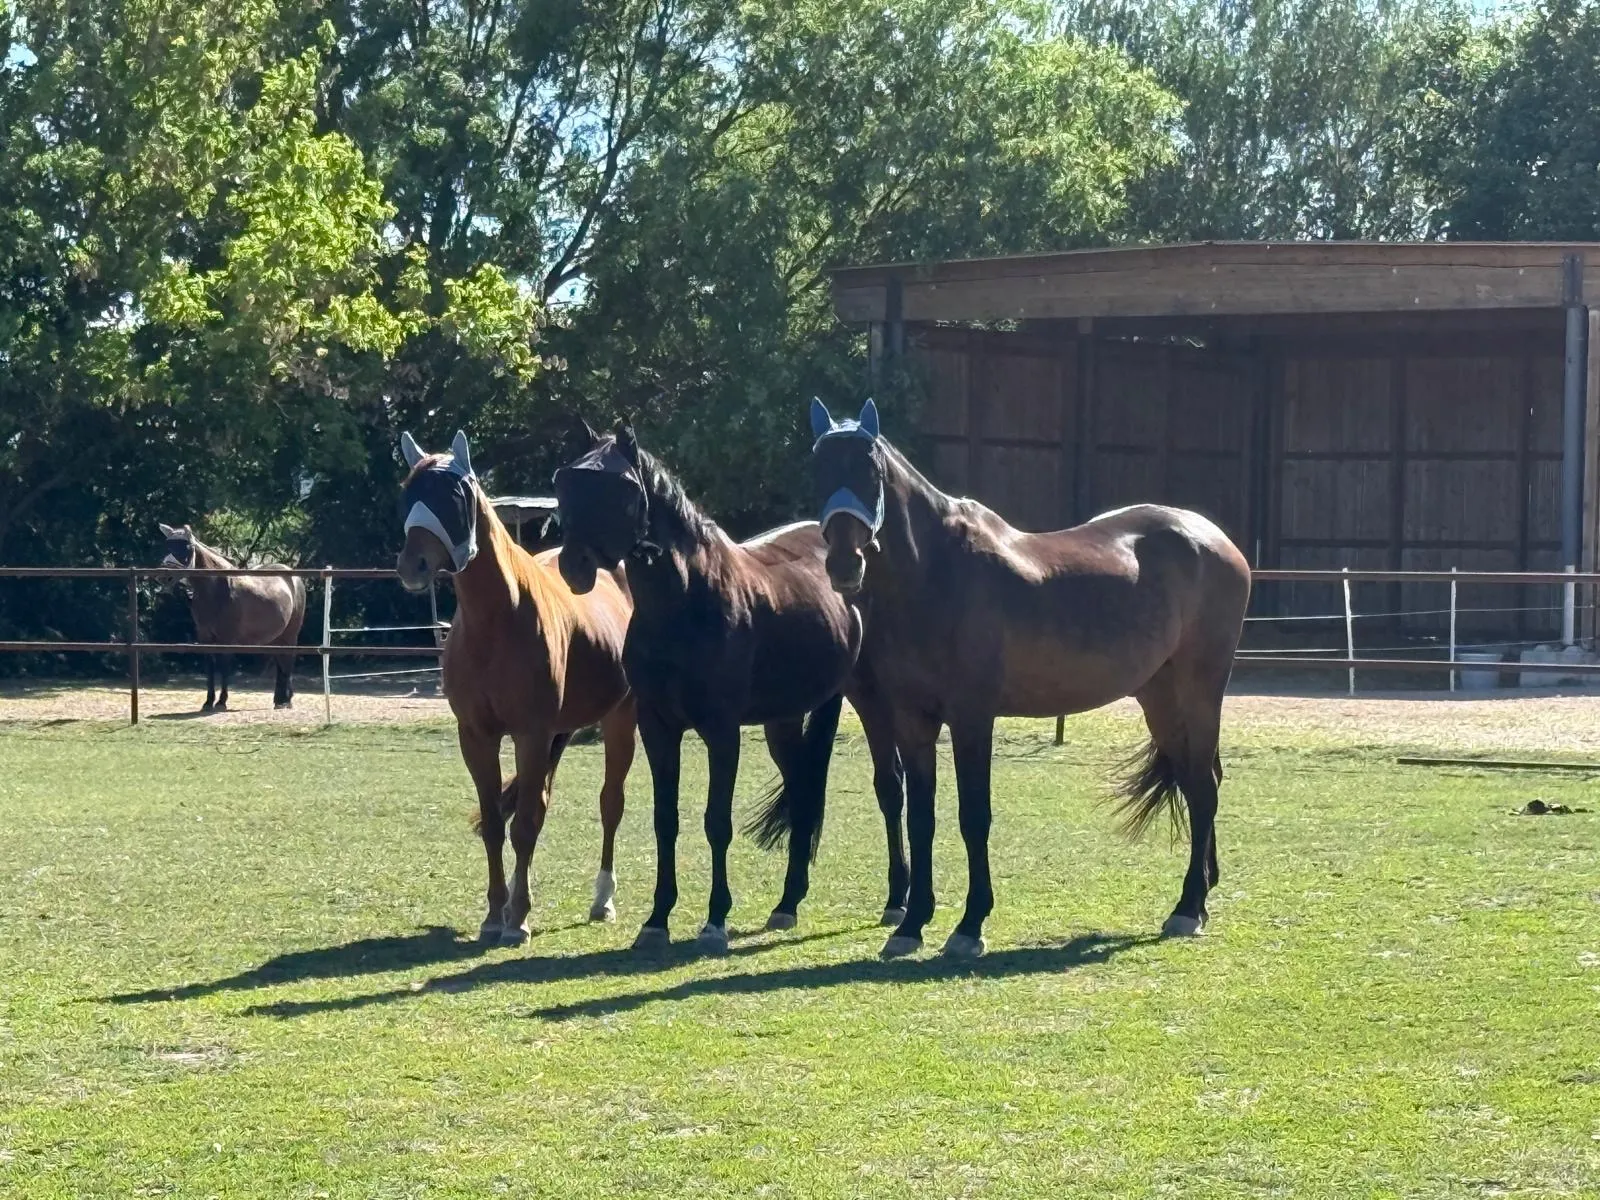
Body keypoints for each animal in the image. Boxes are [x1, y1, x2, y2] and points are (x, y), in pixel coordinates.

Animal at [158, 523, 306, 711]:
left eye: (187, 547)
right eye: (168, 546)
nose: (163, 576)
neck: (217, 590)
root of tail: (293, 576)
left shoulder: (226, 639)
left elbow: (224, 667)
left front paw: (221, 702)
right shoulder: (205, 638)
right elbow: (210, 668)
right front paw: (208, 702)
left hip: (291, 634)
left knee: (287, 662)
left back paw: (286, 701)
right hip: (277, 638)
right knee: (281, 663)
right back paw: (279, 700)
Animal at [396, 430, 637, 945]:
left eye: (455, 496)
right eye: (408, 493)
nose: (412, 565)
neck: (495, 621)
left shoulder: (530, 734)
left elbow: (525, 824)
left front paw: (519, 918)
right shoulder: (477, 736)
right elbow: (494, 822)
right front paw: (495, 913)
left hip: (620, 719)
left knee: (610, 803)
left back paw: (602, 899)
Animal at [553, 421, 909, 954]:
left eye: (623, 491)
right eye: (567, 482)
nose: (573, 566)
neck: (684, 601)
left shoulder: (722, 732)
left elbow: (716, 822)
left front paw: (715, 920)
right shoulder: (657, 727)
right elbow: (665, 820)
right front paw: (657, 919)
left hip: (871, 701)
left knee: (890, 787)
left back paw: (898, 899)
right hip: (784, 720)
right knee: (803, 790)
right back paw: (787, 904)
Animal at [808, 398, 1251, 959]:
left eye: (872, 473)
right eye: (817, 469)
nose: (845, 565)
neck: (938, 574)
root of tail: (1214, 538)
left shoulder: (972, 718)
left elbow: (974, 816)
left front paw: (969, 925)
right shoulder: (912, 720)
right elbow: (920, 816)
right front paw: (911, 923)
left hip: (1201, 690)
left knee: (1204, 785)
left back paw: (1188, 908)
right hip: (1160, 699)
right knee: (1199, 782)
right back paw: (1203, 891)